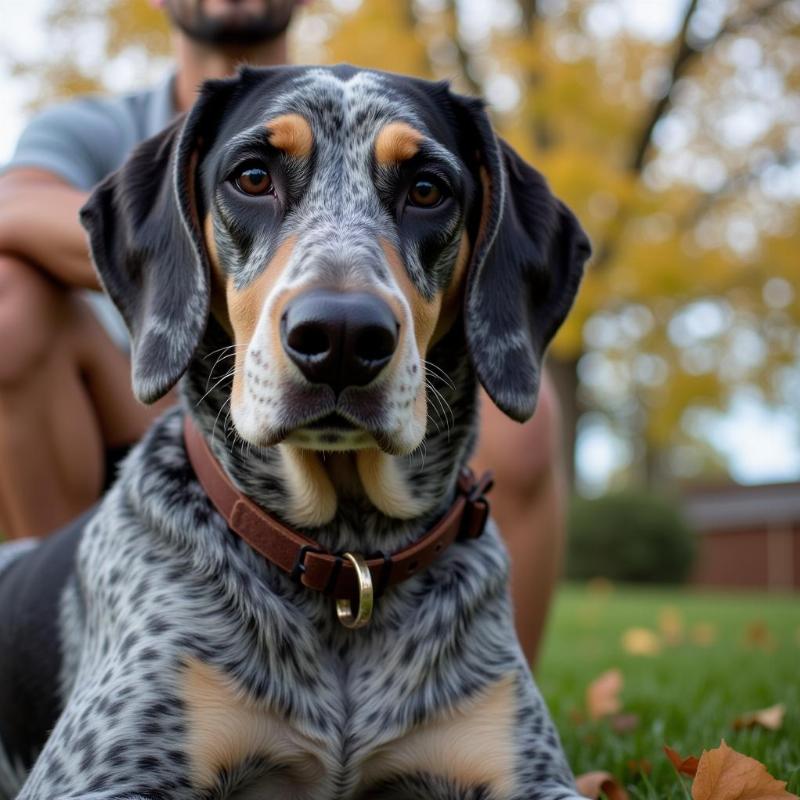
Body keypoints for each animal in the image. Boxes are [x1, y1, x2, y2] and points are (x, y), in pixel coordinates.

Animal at [0, 65, 588, 796]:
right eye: (253, 177)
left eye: (428, 189)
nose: (341, 335)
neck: (347, 560)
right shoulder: (100, 770)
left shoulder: (527, 765)